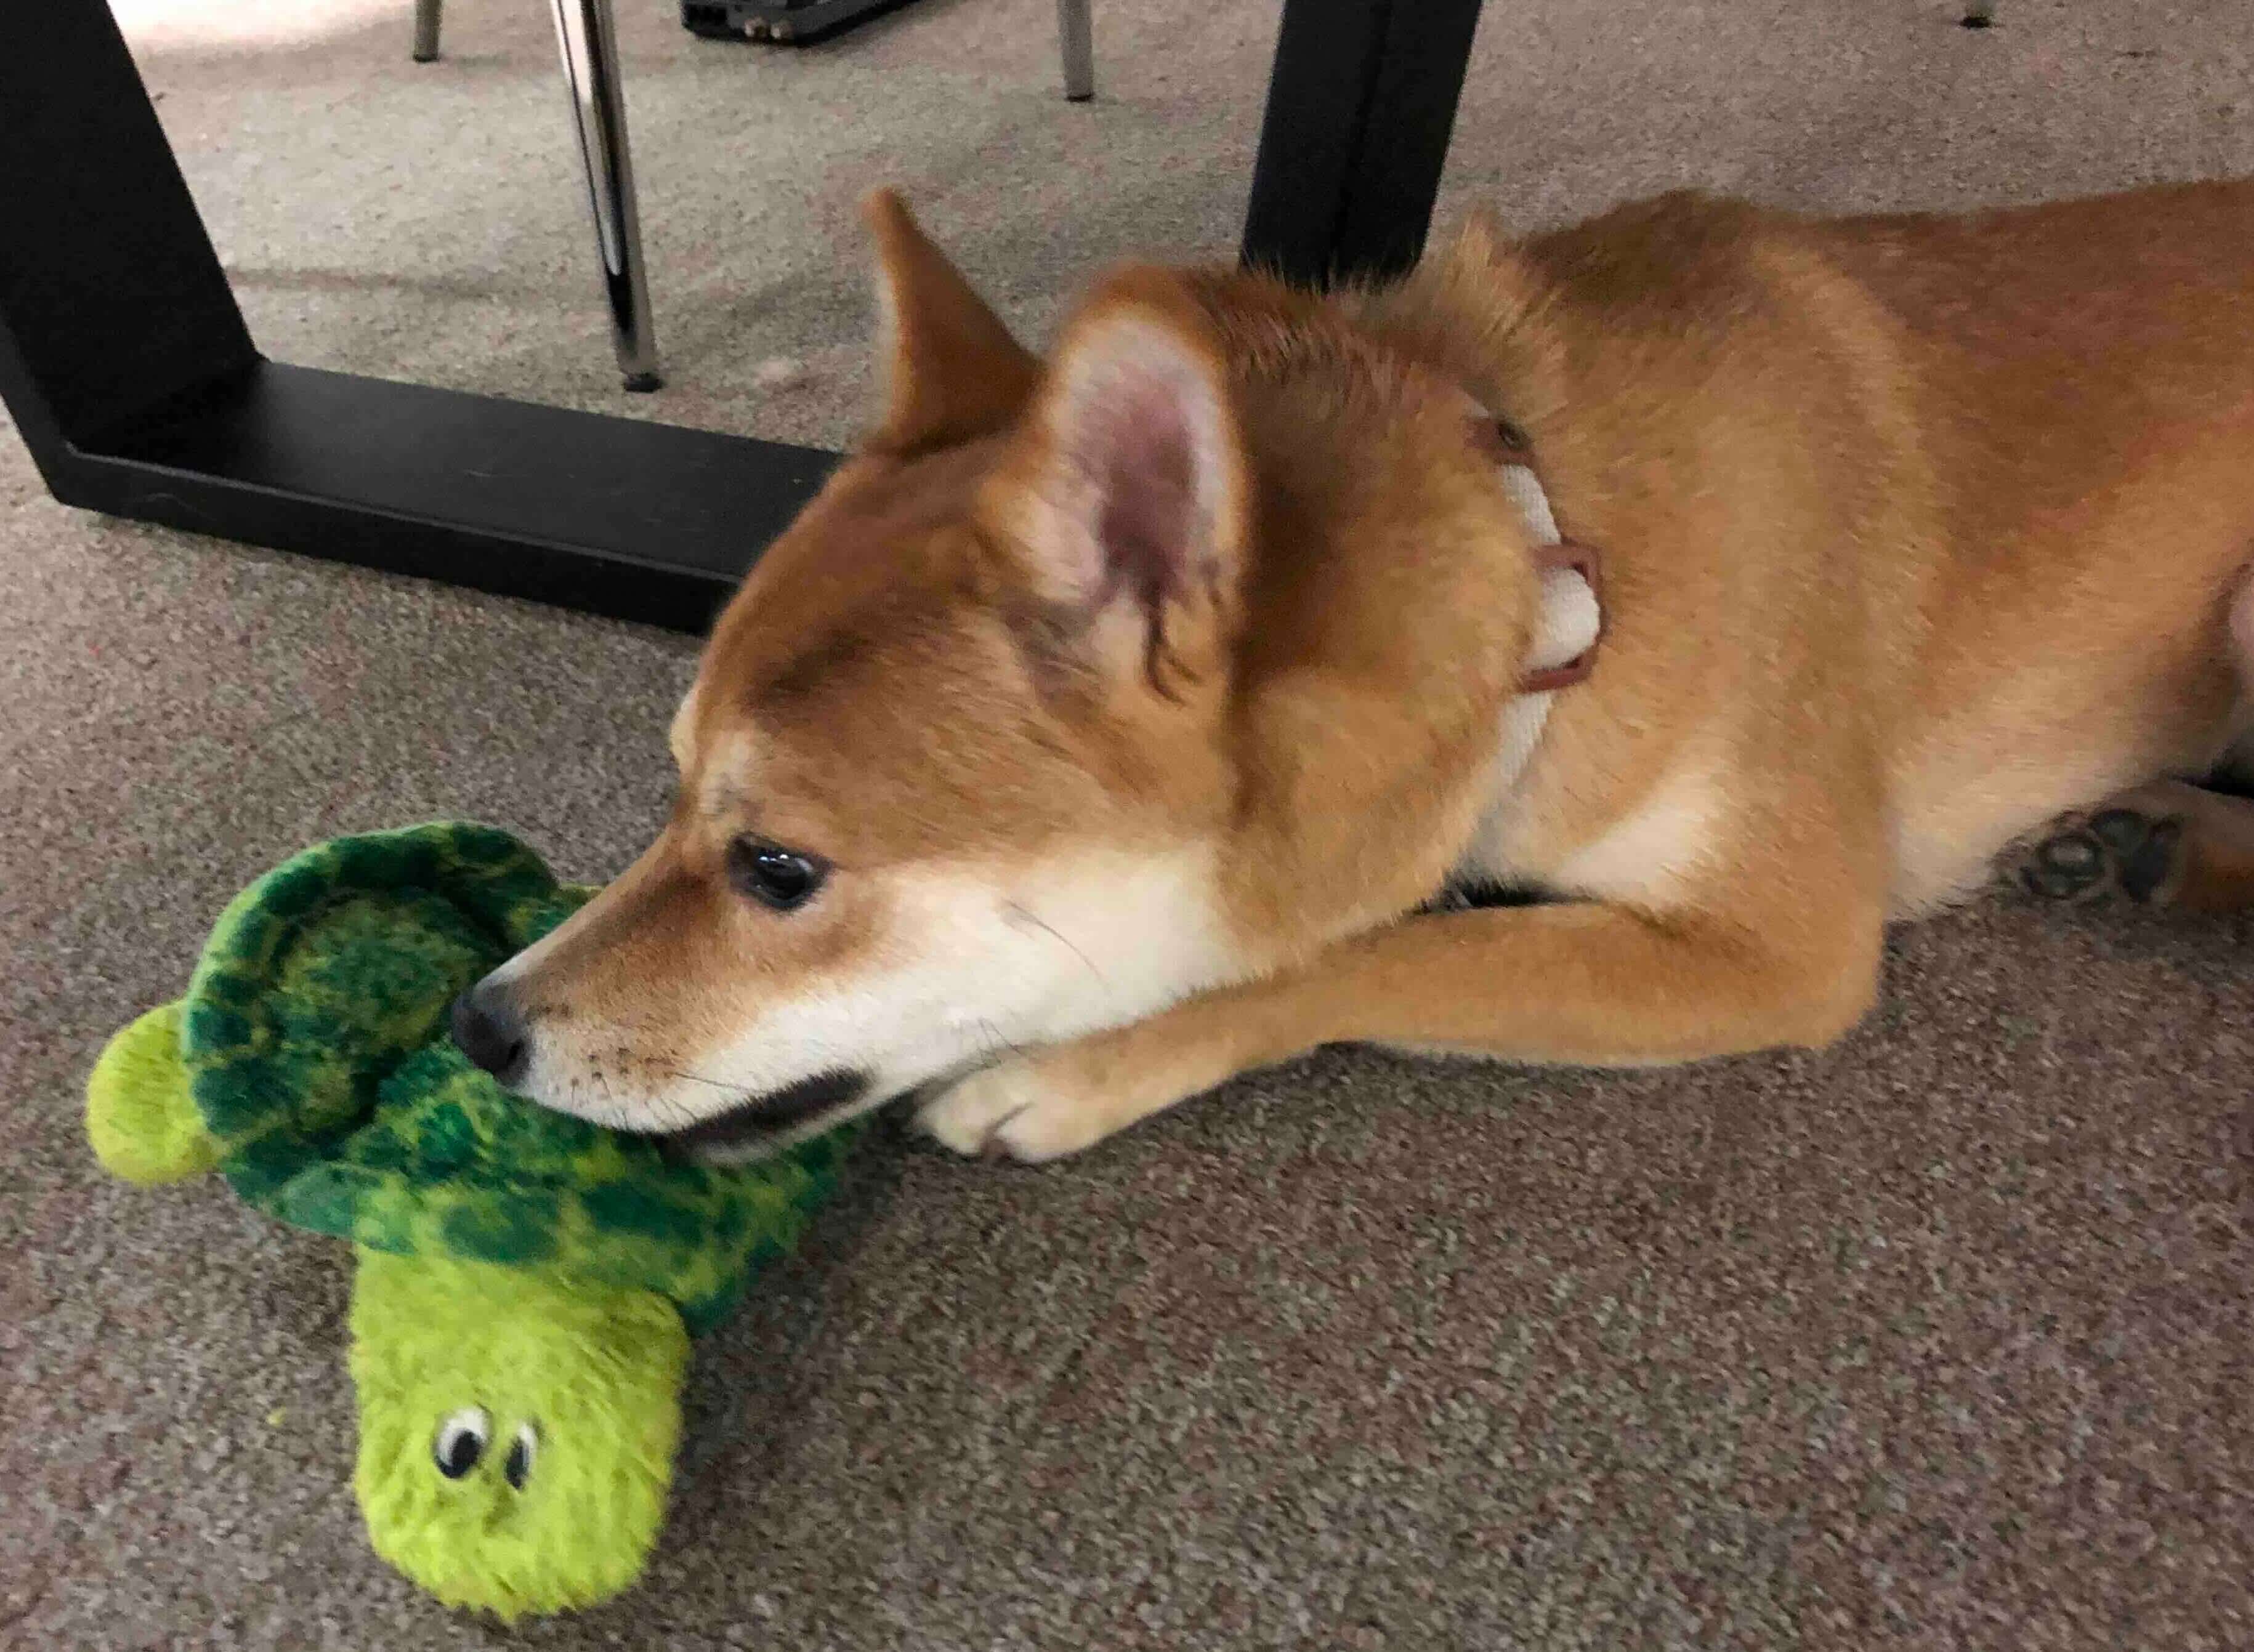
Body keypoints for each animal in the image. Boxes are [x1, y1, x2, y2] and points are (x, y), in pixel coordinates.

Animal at [453, 180, 2254, 1162]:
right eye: (668, 788)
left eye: (777, 869)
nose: (477, 1024)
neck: (1560, 570)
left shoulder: (1778, 948)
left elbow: (1376, 956)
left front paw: (1068, 1071)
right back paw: (2145, 841)